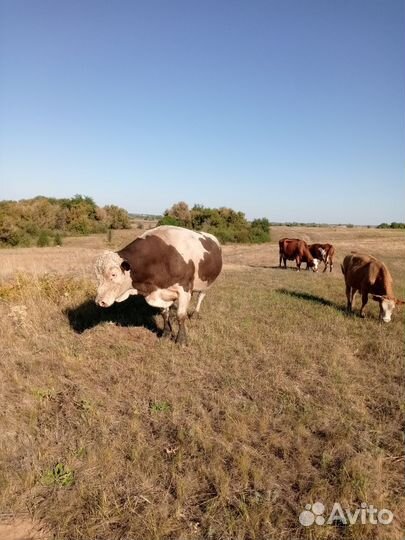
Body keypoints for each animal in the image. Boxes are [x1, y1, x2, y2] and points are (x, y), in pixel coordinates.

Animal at [94, 225, 223, 344]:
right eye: (97, 276)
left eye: (114, 274)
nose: (99, 301)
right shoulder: (160, 291)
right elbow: (164, 314)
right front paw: (166, 333)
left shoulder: (184, 288)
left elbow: (181, 315)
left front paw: (181, 340)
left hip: (207, 283)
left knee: (201, 297)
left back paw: (195, 314)